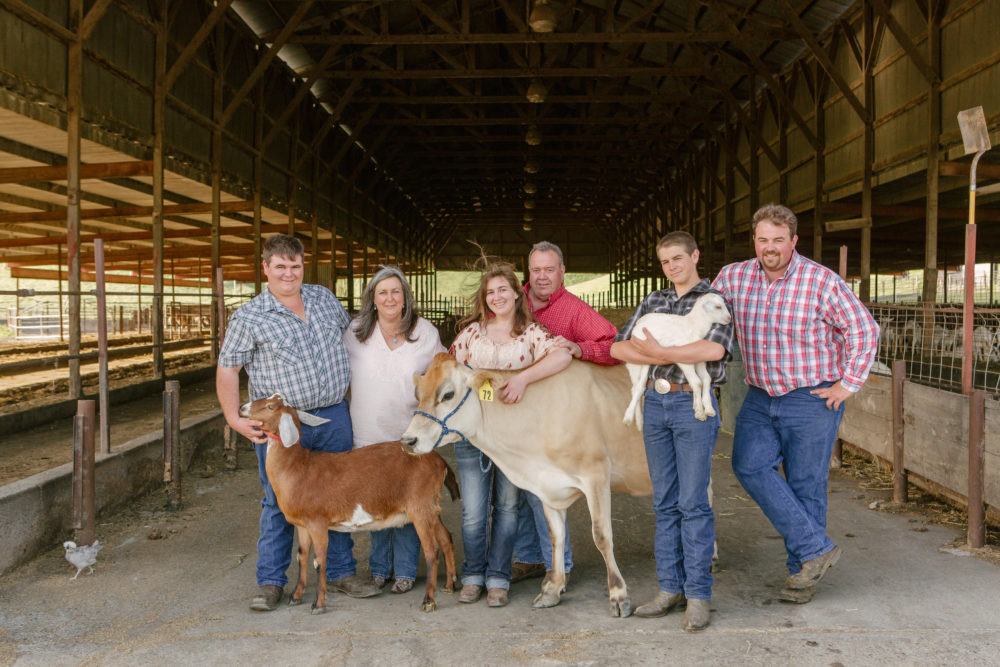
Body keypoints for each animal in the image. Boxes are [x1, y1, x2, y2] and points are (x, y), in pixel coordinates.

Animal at [240, 394, 458, 612]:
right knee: (445, 538)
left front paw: (318, 603)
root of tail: (439, 461)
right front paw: (295, 596)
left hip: (420, 507)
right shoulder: (302, 525)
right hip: (431, 507)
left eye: (269, 407)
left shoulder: (317, 522)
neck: (297, 468)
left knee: (431, 551)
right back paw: (449, 584)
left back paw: (429, 600)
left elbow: (319, 561)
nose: (242, 408)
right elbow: (301, 556)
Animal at [400, 352, 656, 620]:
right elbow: (556, 535)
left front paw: (618, 596)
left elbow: (602, 535)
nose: (408, 440)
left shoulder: (596, 474)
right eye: (418, 394)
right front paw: (552, 590)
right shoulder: (548, 486)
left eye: (448, 394)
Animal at [620, 294, 732, 434]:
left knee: (639, 387)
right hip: (636, 362)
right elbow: (697, 383)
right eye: (718, 306)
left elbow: (706, 379)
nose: (729, 319)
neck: (694, 325)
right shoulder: (684, 359)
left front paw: (708, 408)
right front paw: (700, 412)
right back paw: (630, 418)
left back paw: (639, 422)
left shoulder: (699, 360)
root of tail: (638, 323)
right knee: (636, 388)